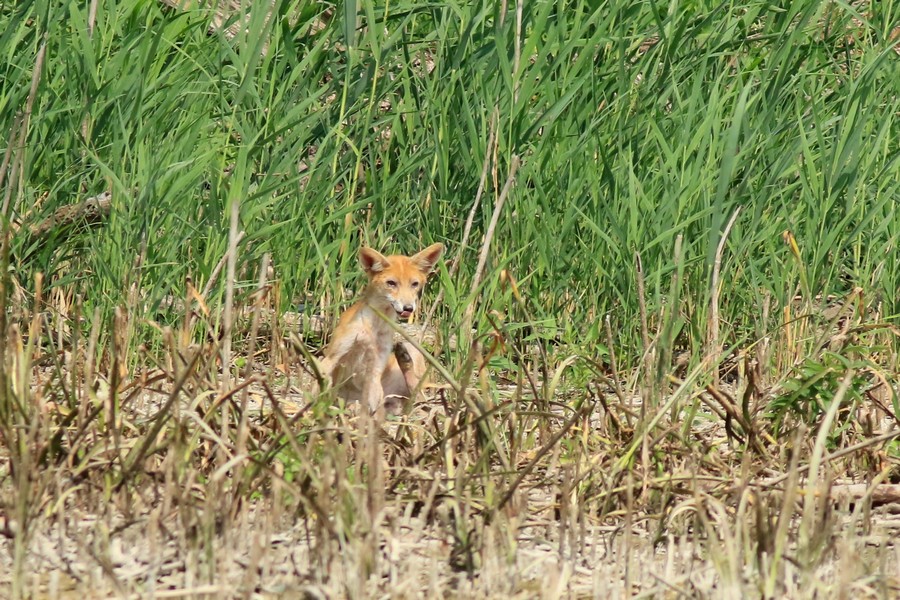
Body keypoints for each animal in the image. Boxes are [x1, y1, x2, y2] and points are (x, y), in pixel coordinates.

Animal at [314, 241, 444, 414]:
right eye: (391, 283)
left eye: (414, 284)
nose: (408, 308)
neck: (373, 328)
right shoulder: (333, 356)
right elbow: (317, 388)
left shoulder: (377, 366)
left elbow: (374, 401)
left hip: (413, 352)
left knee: (418, 398)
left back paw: (404, 360)